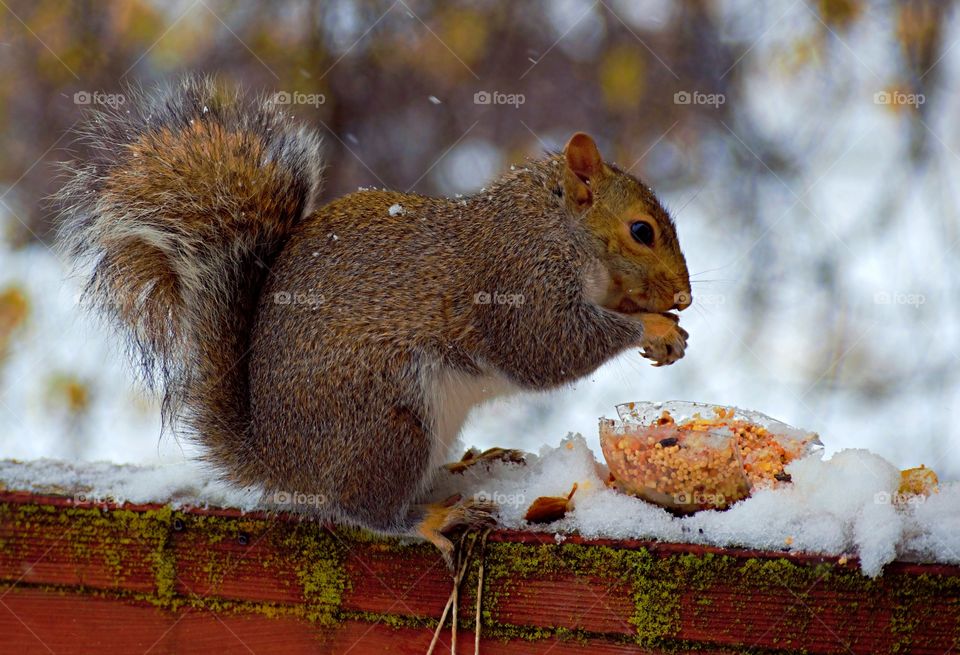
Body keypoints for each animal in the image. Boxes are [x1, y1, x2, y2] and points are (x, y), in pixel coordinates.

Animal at [57, 76, 691, 564]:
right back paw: (430, 520)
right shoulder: (520, 283)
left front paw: (666, 328)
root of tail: (279, 458)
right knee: (364, 510)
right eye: (641, 231)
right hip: (388, 423)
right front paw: (654, 327)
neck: (557, 225)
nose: (684, 296)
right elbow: (548, 349)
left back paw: (471, 463)